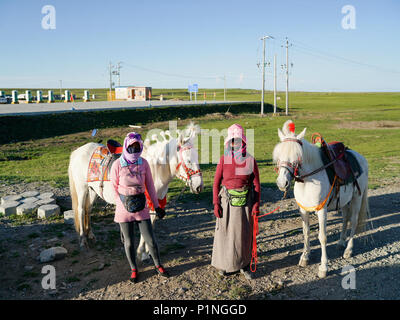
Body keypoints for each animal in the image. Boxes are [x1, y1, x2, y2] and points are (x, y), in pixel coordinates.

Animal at [68, 122, 203, 260]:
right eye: (188, 161)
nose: (199, 186)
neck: (153, 170)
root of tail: (77, 151)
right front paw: (140, 252)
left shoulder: (155, 203)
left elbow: (151, 224)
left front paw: (147, 251)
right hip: (82, 188)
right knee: (80, 210)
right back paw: (83, 240)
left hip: (92, 191)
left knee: (88, 209)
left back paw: (90, 234)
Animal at [274, 120, 370, 278]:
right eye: (278, 155)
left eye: (297, 157)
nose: (282, 183)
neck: (308, 180)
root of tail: (360, 158)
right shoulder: (303, 210)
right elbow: (306, 232)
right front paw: (305, 256)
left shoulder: (321, 210)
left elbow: (322, 237)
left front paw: (323, 267)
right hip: (345, 201)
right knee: (345, 219)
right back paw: (341, 242)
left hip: (357, 198)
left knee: (354, 221)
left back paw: (348, 249)